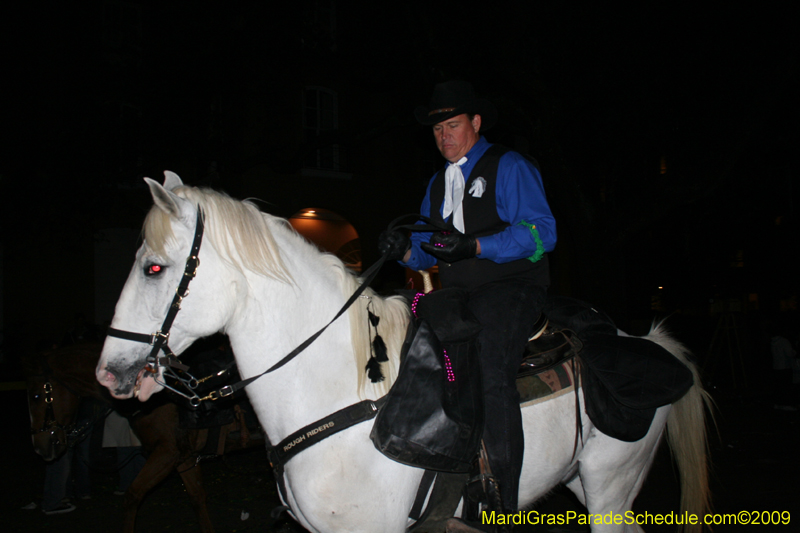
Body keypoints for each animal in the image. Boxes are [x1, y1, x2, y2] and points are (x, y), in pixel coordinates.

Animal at [23, 342, 260, 528]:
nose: (40, 446)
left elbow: (132, 496)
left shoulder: (166, 454)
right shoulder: (184, 457)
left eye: (36, 396)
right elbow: (197, 498)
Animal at [98, 172, 712, 528]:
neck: (342, 392)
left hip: (610, 487)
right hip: (588, 484)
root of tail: (648, 341)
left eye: (154, 268)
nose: (108, 374)